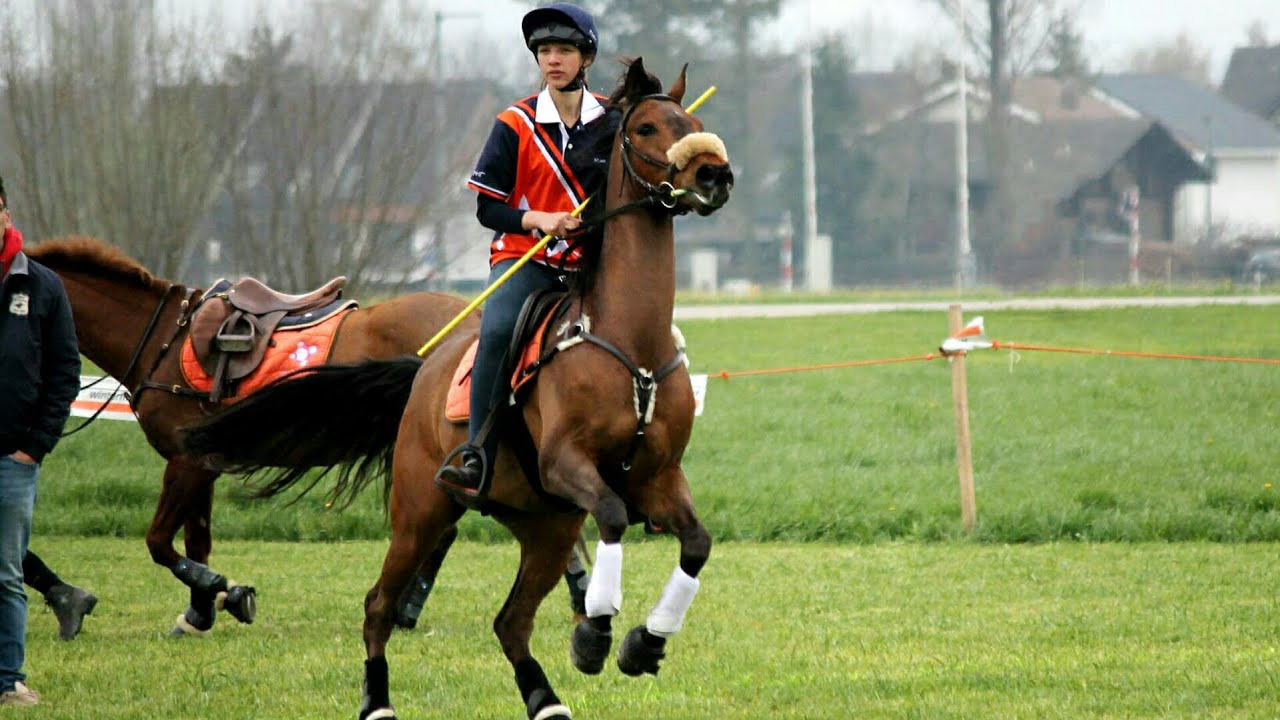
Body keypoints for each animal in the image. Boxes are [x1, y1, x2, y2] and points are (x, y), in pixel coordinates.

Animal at [27, 236, 569, 636]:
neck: (164, 339)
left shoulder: (186, 461)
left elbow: (161, 542)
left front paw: (218, 590)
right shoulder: (204, 464)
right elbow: (197, 539)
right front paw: (204, 606)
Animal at [183, 57, 733, 719]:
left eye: (695, 125)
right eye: (648, 127)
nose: (715, 173)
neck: (630, 343)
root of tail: (422, 371)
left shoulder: (657, 476)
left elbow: (696, 542)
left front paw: (643, 642)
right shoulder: (566, 463)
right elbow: (612, 514)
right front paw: (597, 632)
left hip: (544, 527)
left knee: (511, 622)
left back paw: (545, 700)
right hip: (422, 511)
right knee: (379, 605)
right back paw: (377, 702)